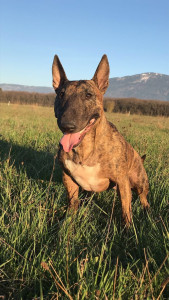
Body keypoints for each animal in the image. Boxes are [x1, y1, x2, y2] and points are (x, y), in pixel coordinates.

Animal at [51, 54, 149, 227]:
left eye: (88, 95)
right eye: (61, 94)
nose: (67, 125)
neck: (85, 148)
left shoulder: (122, 182)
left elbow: (126, 209)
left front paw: (128, 230)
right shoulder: (67, 177)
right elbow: (72, 202)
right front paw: (66, 223)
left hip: (139, 181)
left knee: (144, 197)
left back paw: (147, 212)